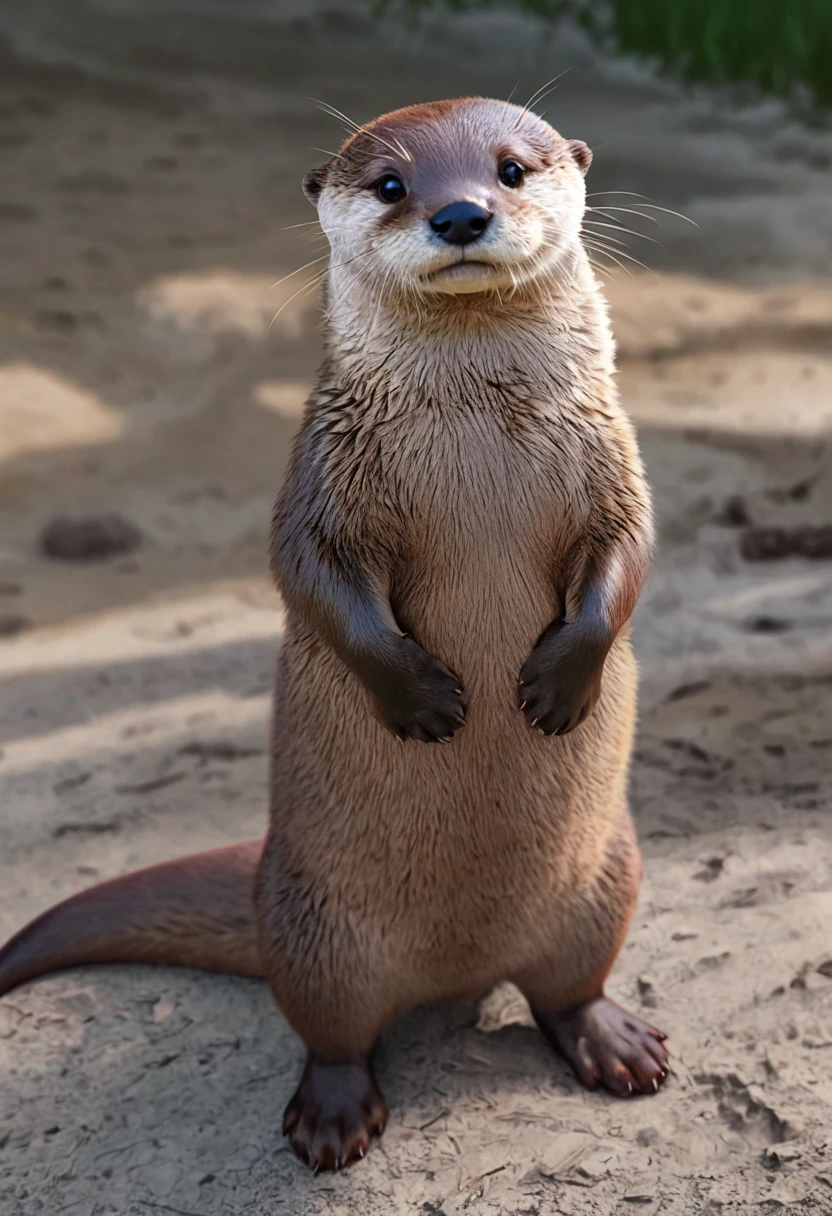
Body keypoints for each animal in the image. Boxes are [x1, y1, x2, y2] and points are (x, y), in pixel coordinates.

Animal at [0, 97, 667, 1172]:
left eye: (511, 169)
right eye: (393, 183)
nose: (460, 214)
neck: (477, 423)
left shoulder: (614, 460)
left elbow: (631, 553)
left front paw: (560, 684)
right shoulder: (322, 474)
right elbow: (306, 574)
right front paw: (424, 698)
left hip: (608, 879)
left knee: (568, 991)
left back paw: (614, 1045)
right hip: (319, 934)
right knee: (332, 1032)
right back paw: (333, 1117)